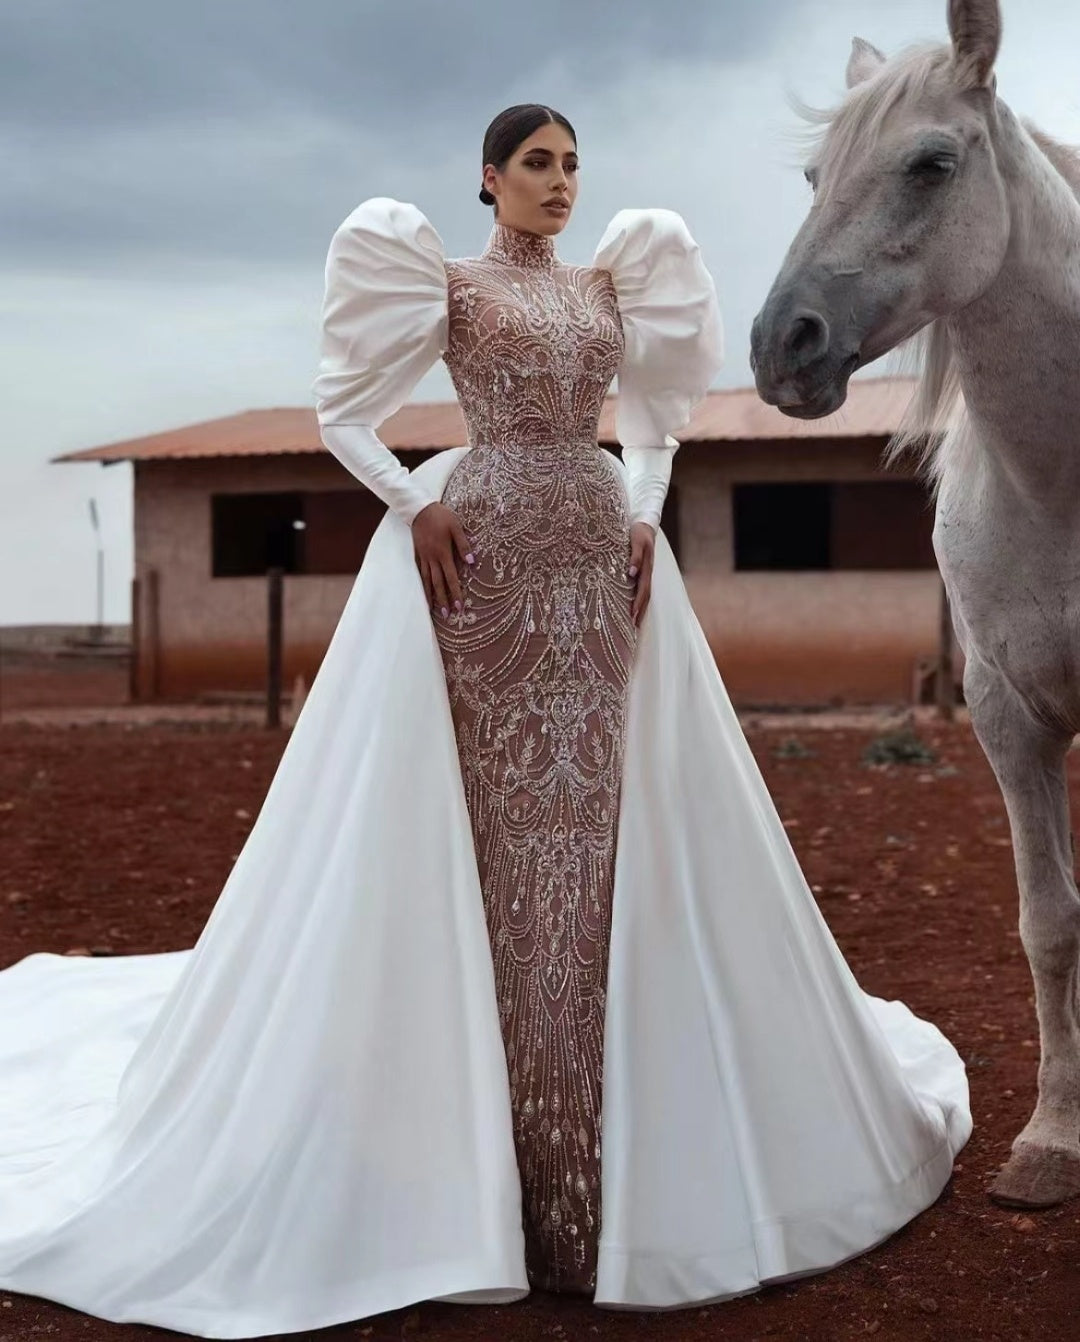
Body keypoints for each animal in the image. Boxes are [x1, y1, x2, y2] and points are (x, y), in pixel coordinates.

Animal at [756, 0, 1078, 1218]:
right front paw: (1051, 1143)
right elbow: (1048, 922)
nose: (781, 344)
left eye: (932, 163)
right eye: (815, 173)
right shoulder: (1006, 714)